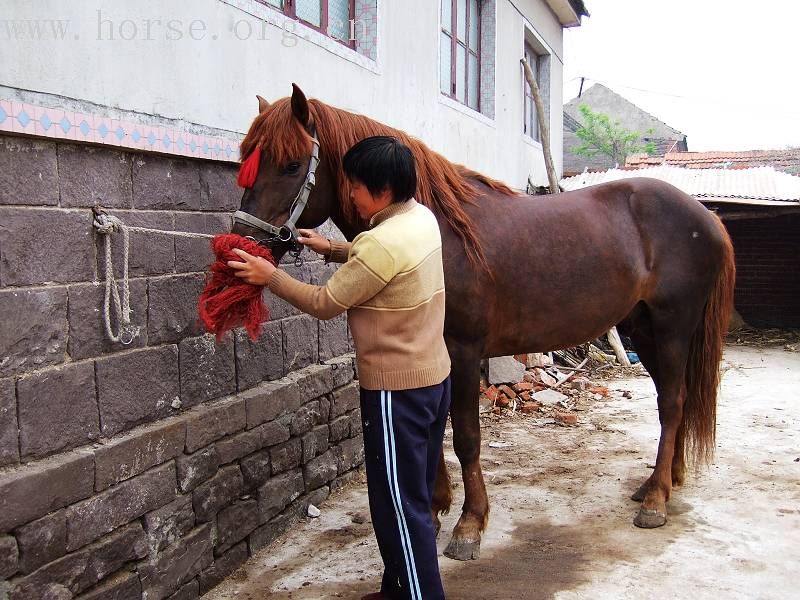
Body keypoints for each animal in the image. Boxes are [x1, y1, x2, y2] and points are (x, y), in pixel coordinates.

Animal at [230, 84, 732, 564]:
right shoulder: (433, 353)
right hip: (643, 330)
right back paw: (662, 482)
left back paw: (656, 502)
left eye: (292, 165)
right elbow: (436, 434)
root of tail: (706, 217)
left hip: (672, 328)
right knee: (674, 399)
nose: (241, 244)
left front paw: (469, 525)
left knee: (672, 403)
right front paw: (435, 509)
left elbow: (466, 437)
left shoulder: (464, 351)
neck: (437, 233)